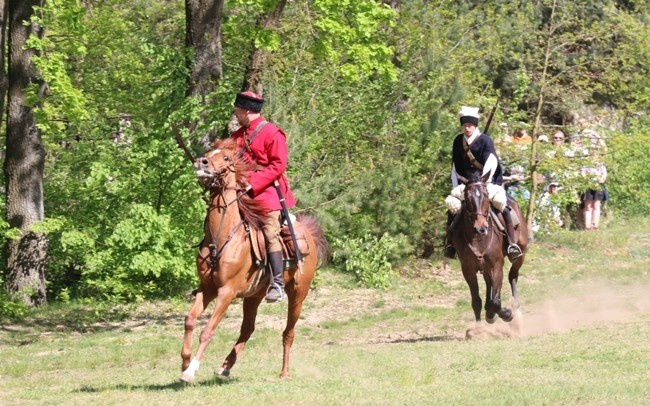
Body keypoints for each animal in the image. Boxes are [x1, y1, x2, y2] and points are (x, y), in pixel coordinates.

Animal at [180, 138, 326, 382]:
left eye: (226, 157)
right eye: (209, 153)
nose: (201, 162)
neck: (221, 237)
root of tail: (308, 235)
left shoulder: (226, 293)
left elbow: (207, 330)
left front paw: (190, 371)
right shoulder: (207, 288)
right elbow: (190, 320)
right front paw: (184, 362)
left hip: (298, 294)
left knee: (288, 332)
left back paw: (284, 372)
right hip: (254, 296)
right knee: (248, 328)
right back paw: (225, 366)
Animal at [450, 170, 528, 324]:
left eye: (486, 194)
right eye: (467, 197)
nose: (481, 227)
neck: (478, 238)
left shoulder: (496, 266)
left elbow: (496, 302)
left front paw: (506, 314)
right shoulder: (468, 270)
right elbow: (476, 301)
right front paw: (480, 325)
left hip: (520, 253)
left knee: (513, 275)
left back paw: (514, 308)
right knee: (488, 282)